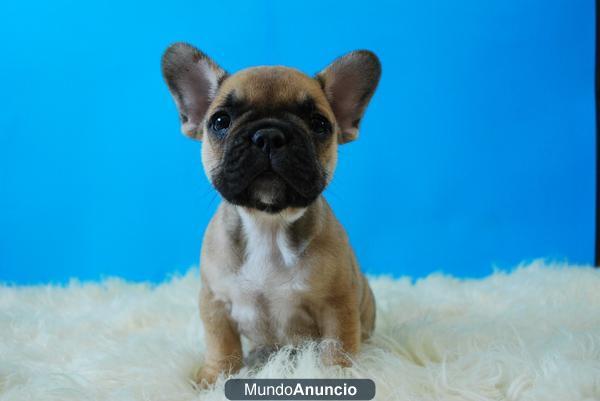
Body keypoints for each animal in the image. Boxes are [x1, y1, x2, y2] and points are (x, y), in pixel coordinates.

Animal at [161, 42, 380, 382]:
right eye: (220, 121)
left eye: (319, 124)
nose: (268, 136)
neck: (268, 222)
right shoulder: (214, 302)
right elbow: (221, 344)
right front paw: (214, 377)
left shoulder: (337, 304)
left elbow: (337, 346)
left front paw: (337, 375)